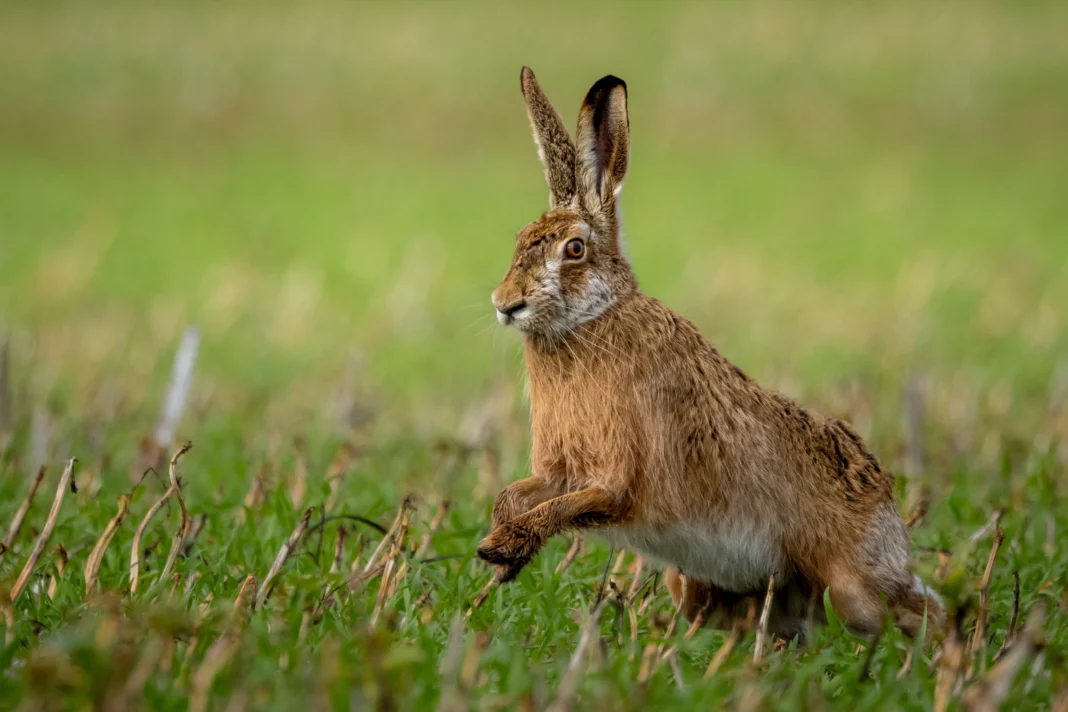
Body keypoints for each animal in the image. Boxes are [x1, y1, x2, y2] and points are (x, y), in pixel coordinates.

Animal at [475, 67, 944, 641]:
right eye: (521, 238)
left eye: (575, 249)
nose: (505, 304)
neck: (591, 319)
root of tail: (886, 501)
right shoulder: (559, 470)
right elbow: (516, 494)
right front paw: (500, 551)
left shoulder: (618, 483)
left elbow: (569, 506)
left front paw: (503, 548)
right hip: (704, 586)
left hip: (853, 587)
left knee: (910, 611)